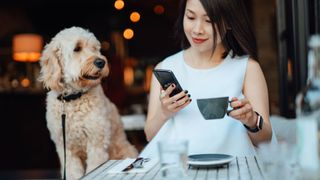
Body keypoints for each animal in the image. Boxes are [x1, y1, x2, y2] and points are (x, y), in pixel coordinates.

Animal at [38, 27, 138, 180]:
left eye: (95, 48)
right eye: (77, 48)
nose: (101, 62)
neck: (73, 98)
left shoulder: (96, 144)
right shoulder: (66, 149)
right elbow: (73, 173)